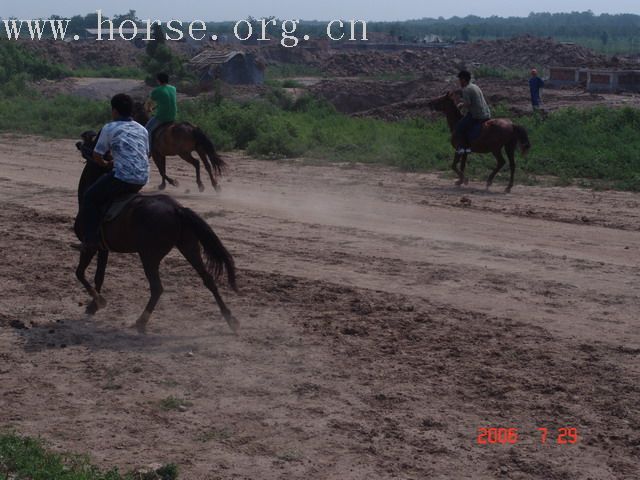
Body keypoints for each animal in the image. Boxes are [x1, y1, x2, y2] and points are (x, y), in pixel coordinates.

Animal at [73, 131, 238, 334]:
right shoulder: (103, 249)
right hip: (189, 247)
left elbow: (80, 273)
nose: (78, 143)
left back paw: (141, 321)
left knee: (157, 288)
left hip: (149, 256)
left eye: (92, 140)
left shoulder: (90, 247)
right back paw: (230, 319)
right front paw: (93, 306)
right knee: (208, 279)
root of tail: (176, 209)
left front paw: (98, 302)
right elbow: (99, 276)